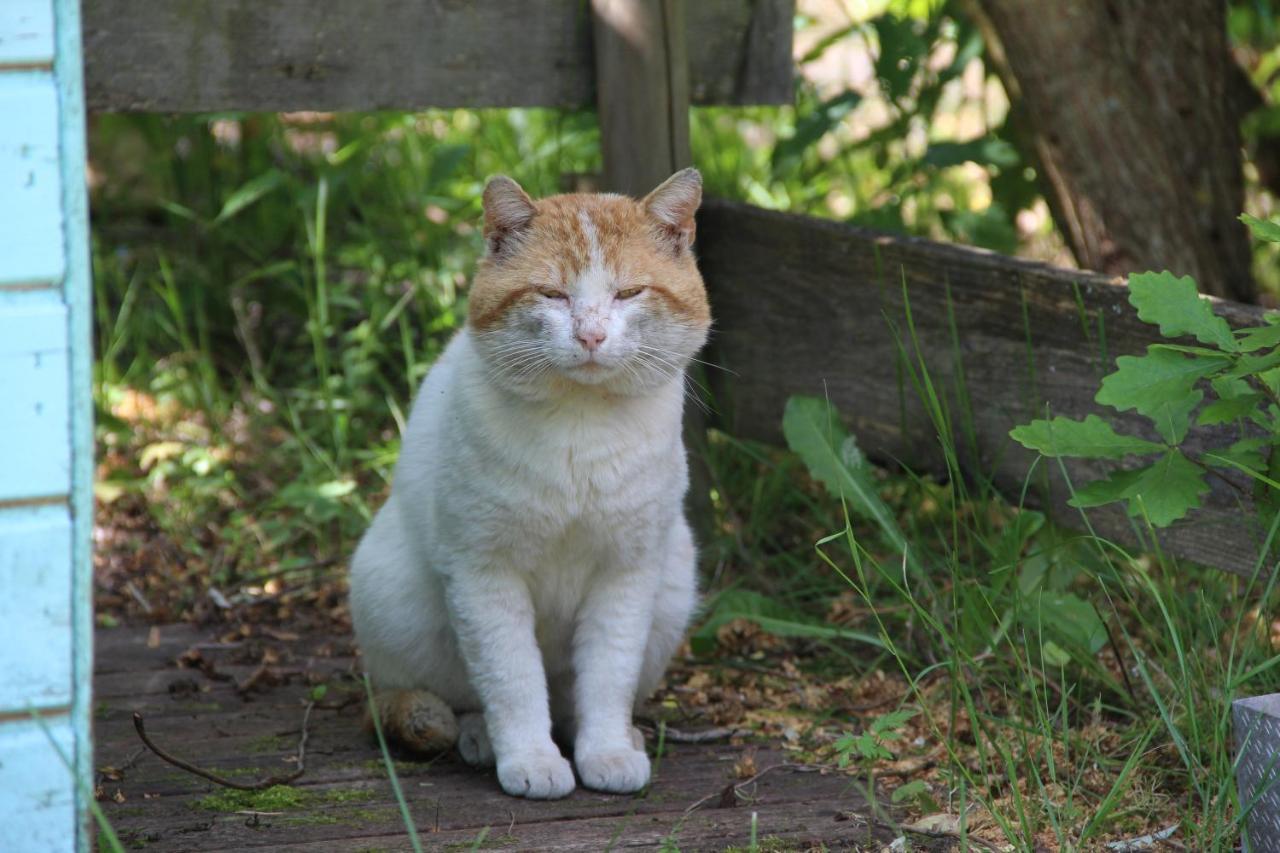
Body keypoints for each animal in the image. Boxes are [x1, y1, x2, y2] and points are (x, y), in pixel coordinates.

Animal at [350, 167, 711, 799]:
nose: (591, 336)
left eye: (627, 294)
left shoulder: (628, 573)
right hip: (392, 595)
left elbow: (607, 678)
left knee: (572, 701)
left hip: (674, 578)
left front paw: (607, 750)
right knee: (434, 699)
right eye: (552, 295)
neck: (580, 426)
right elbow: (513, 682)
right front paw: (529, 759)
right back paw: (476, 737)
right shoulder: (483, 575)